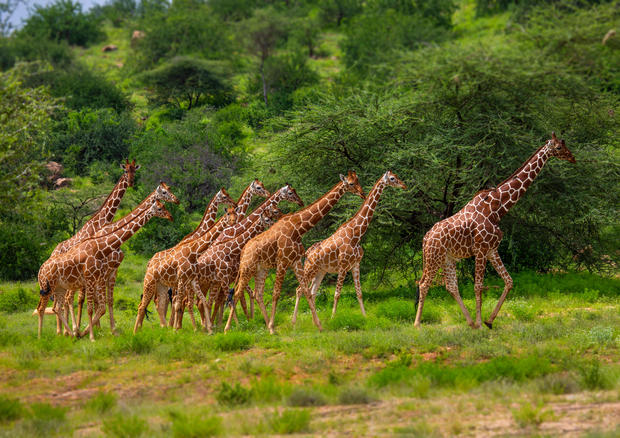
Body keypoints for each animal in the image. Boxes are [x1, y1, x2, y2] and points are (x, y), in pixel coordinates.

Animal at [36, 200, 173, 340]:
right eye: (160, 208)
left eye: (164, 206)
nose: (170, 216)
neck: (99, 248)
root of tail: (41, 269)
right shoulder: (91, 279)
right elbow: (91, 308)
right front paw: (91, 337)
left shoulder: (101, 277)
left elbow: (102, 306)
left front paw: (91, 332)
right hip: (48, 287)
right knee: (42, 307)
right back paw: (43, 336)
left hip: (60, 288)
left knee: (56, 308)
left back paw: (71, 333)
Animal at [225, 169, 366, 334]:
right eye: (351, 183)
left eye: (358, 181)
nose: (362, 193)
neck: (298, 228)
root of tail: (243, 251)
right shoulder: (282, 262)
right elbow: (276, 294)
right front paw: (273, 326)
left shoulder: (296, 261)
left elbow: (306, 291)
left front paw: (319, 326)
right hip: (247, 268)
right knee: (237, 293)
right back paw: (228, 329)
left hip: (261, 269)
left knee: (257, 293)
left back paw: (264, 327)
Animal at [294, 170, 410, 322]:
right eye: (392, 178)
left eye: (396, 176)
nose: (404, 185)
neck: (356, 234)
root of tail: (307, 253)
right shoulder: (343, 266)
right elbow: (337, 294)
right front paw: (333, 318)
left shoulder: (356, 264)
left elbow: (359, 293)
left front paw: (365, 316)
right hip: (310, 268)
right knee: (299, 290)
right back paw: (294, 322)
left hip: (320, 271)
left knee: (312, 292)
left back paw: (315, 321)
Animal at [416, 133, 576, 328]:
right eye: (559, 147)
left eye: (565, 145)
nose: (573, 158)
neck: (496, 209)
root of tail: (426, 238)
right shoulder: (481, 250)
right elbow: (478, 286)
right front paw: (481, 322)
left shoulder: (492, 249)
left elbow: (509, 281)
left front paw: (488, 321)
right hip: (434, 257)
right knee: (424, 284)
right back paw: (417, 323)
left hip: (448, 258)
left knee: (451, 286)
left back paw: (470, 322)